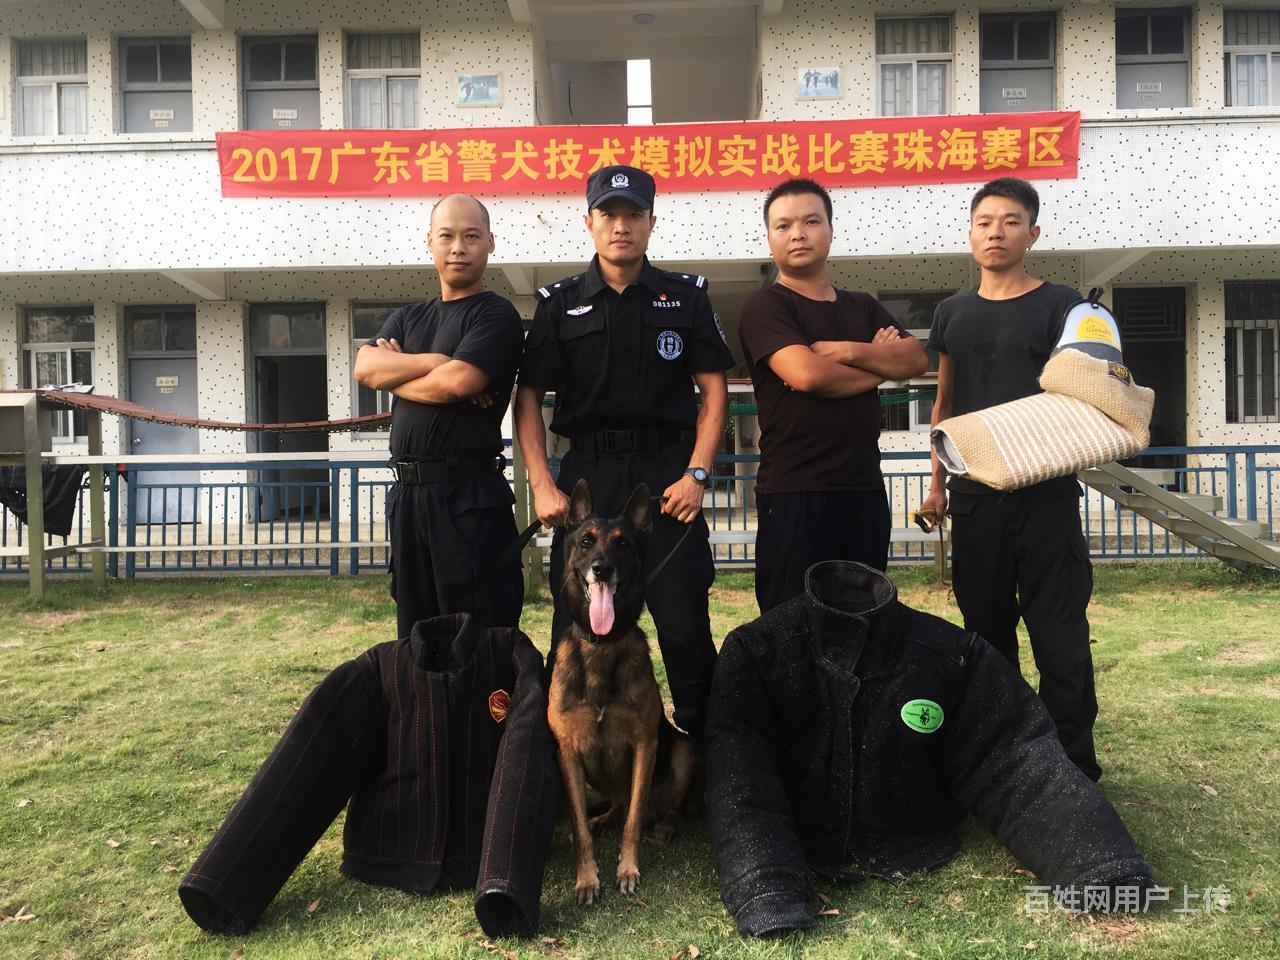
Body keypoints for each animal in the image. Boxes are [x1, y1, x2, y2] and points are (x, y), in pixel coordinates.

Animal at [542, 481, 701, 911]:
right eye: (586, 541)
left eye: (624, 544)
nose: (602, 567)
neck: (602, 643)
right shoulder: (566, 752)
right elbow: (579, 825)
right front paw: (586, 879)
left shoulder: (646, 744)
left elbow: (632, 821)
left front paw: (627, 871)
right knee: (617, 805)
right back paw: (602, 818)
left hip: (683, 752)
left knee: (658, 809)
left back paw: (663, 826)